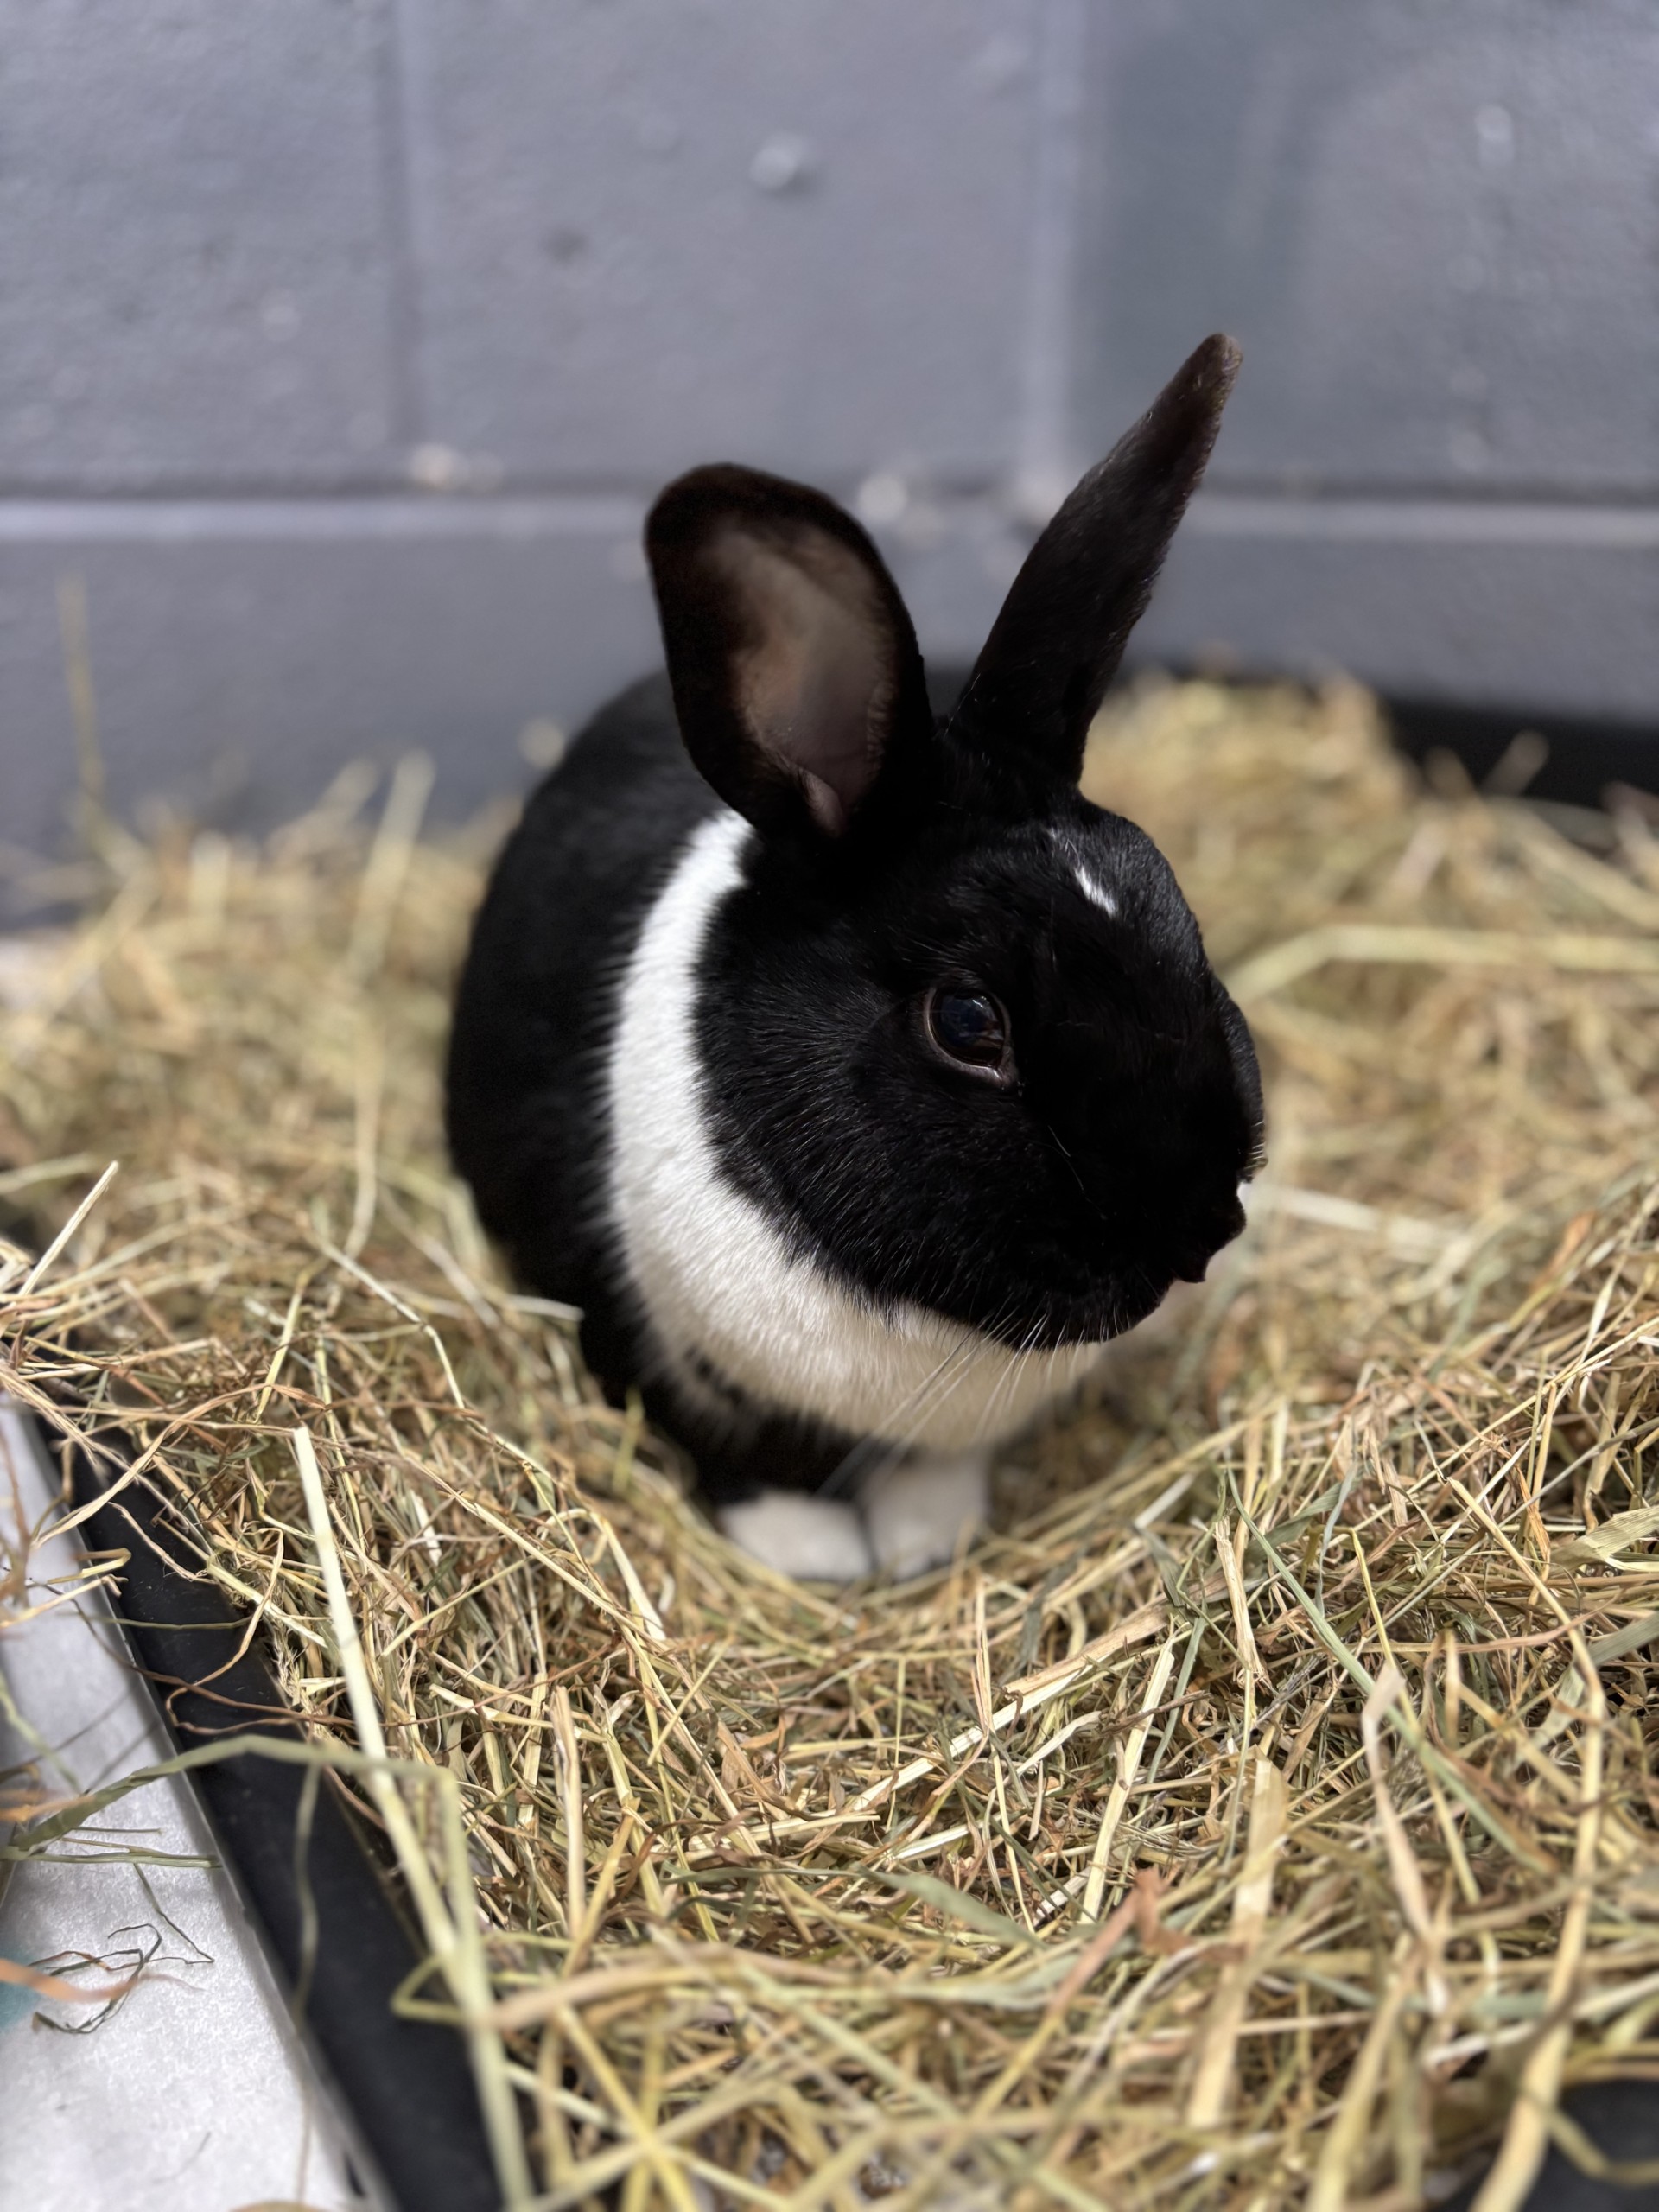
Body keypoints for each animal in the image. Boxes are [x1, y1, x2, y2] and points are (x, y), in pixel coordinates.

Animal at [446, 333, 1264, 1582]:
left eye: (1188, 925)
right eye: (968, 1023)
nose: (1199, 1237)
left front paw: (925, 1537)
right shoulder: (633, 1330)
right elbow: (719, 1448)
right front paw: (817, 1553)